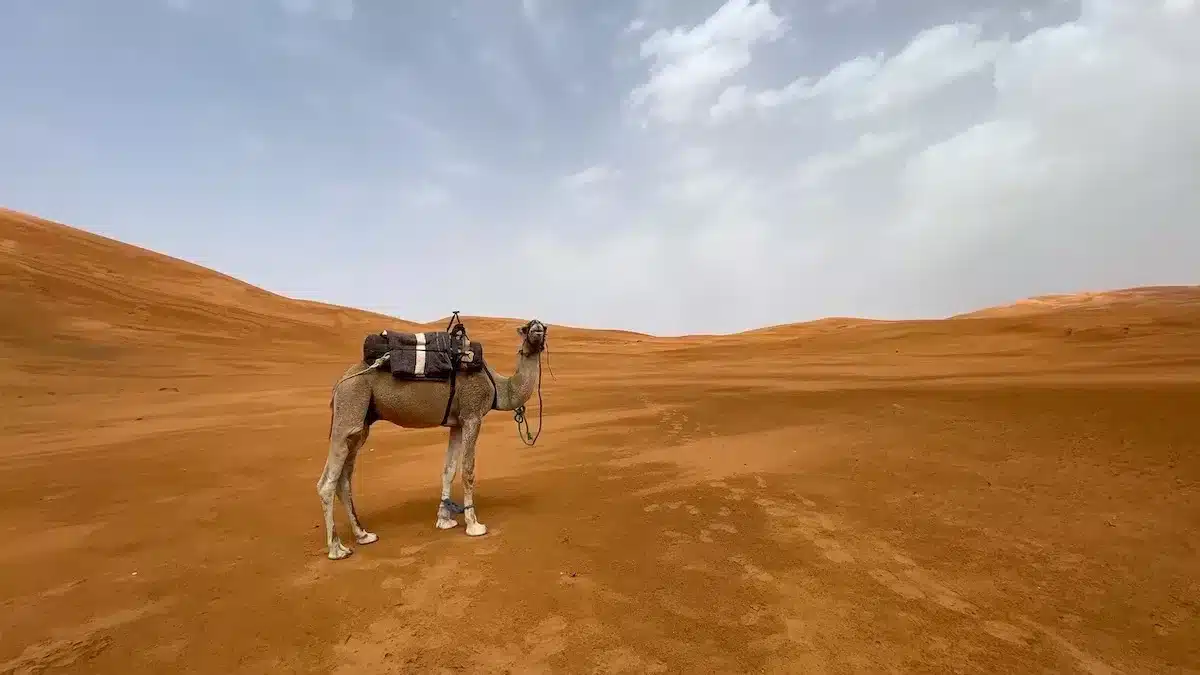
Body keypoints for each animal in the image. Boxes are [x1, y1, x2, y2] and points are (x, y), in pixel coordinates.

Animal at [316, 318, 547, 560]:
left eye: (543, 327)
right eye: (526, 328)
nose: (537, 328)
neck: (497, 386)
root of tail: (340, 382)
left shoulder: (457, 423)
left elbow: (448, 470)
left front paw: (444, 520)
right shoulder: (472, 415)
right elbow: (468, 470)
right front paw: (474, 525)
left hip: (361, 423)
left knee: (344, 479)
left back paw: (363, 535)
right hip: (349, 406)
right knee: (327, 483)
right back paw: (337, 548)